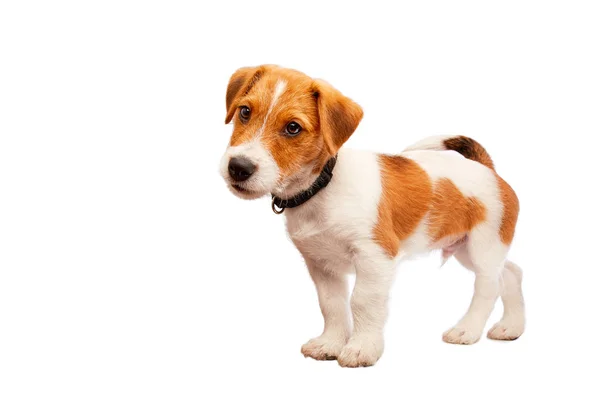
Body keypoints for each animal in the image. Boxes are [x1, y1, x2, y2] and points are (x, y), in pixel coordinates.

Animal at [218, 64, 524, 368]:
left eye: (293, 127)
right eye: (245, 112)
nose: (239, 167)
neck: (323, 186)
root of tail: (486, 168)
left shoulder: (374, 256)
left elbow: (362, 301)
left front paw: (361, 348)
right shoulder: (321, 265)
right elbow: (332, 305)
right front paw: (331, 343)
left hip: (483, 247)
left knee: (489, 286)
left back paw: (467, 330)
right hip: (466, 249)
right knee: (511, 273)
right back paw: (511, 327)